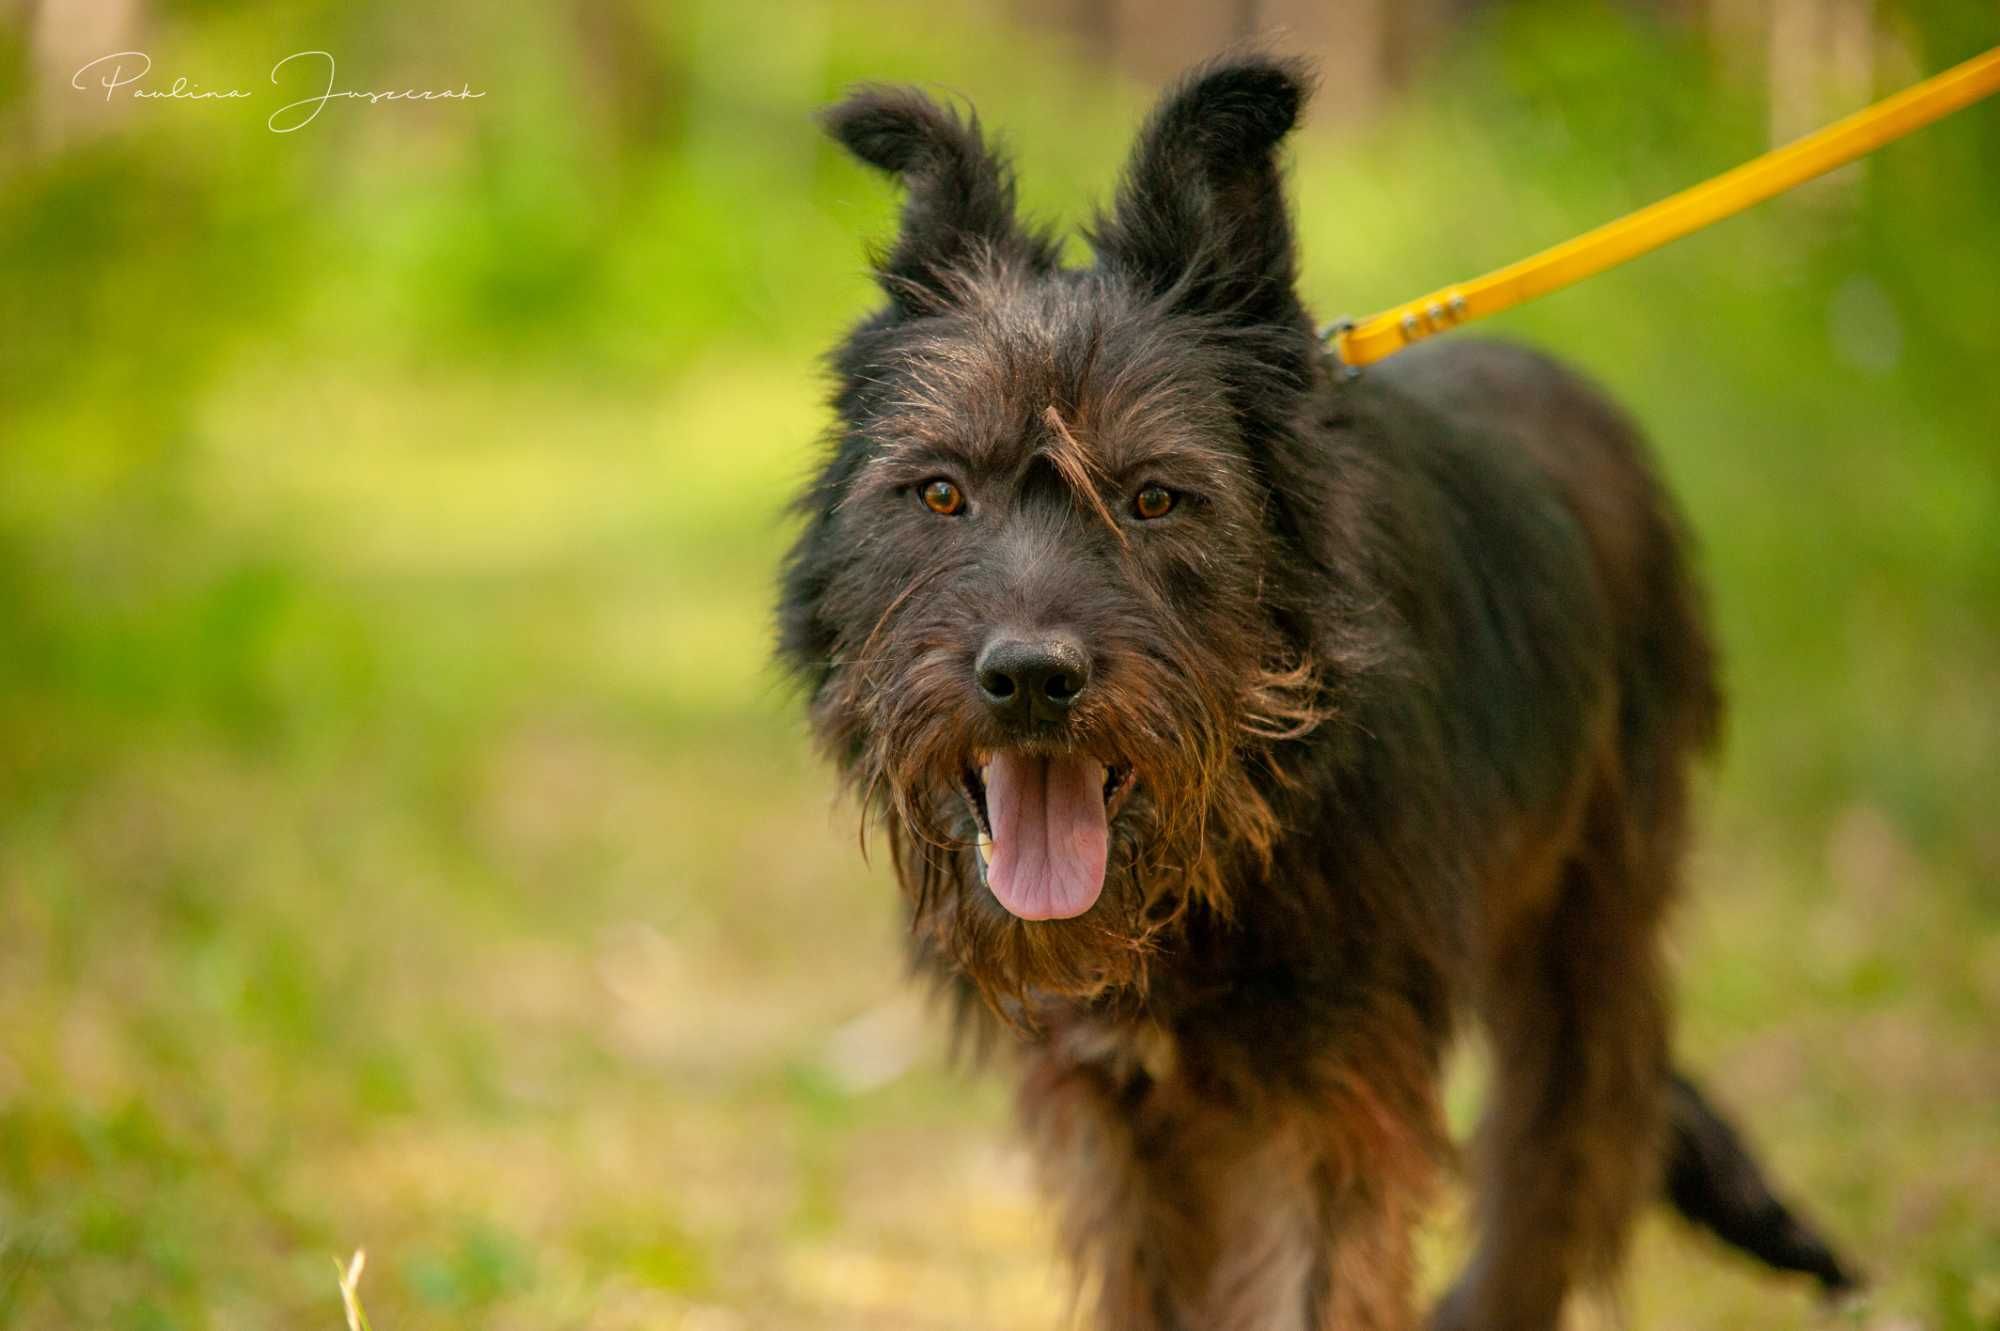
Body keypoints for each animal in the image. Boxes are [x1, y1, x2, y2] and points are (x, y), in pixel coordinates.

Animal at [772, 54, 1848, 1327]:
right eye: (940, 493)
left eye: (1154, 498)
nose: (1029, 678)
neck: (1224, 847)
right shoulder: (1116, 1116)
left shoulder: (1331, 1098)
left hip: (1589, 922)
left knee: (1558, 1149)